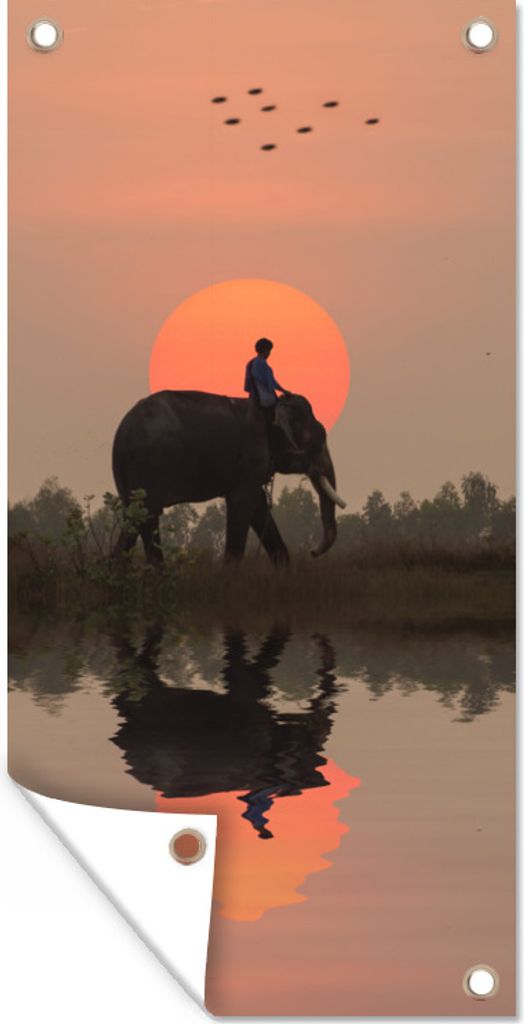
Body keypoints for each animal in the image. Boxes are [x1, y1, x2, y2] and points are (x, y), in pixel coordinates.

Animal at [112, 389, 346, 564]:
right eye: (318, 441)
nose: (312, 552)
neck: (271, 407)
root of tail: (122, 432)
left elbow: (259, 507)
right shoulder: (252, 455)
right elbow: (242, 503)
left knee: (132, 520)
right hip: (149, 466)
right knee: (146, 516)